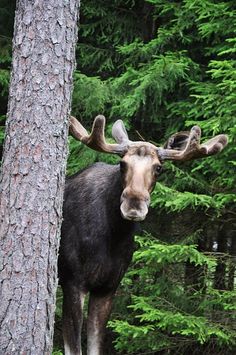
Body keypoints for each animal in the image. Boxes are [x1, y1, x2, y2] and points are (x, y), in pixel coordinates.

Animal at [58, 115, 228, 354]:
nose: (134, 205)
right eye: (122, 164)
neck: (113, 235)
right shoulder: (73, 282)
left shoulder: (107, 288)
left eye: (158, 168)